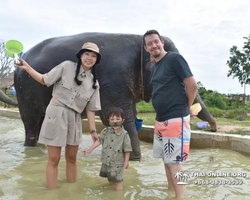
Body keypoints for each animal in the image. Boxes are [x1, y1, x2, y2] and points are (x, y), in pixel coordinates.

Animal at [0, 32, 217, 161]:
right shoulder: (113, 81)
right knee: (32, 123)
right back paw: (32, 149)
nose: (213, 128)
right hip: (26, 88)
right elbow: (116, 116)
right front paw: (133, 159)